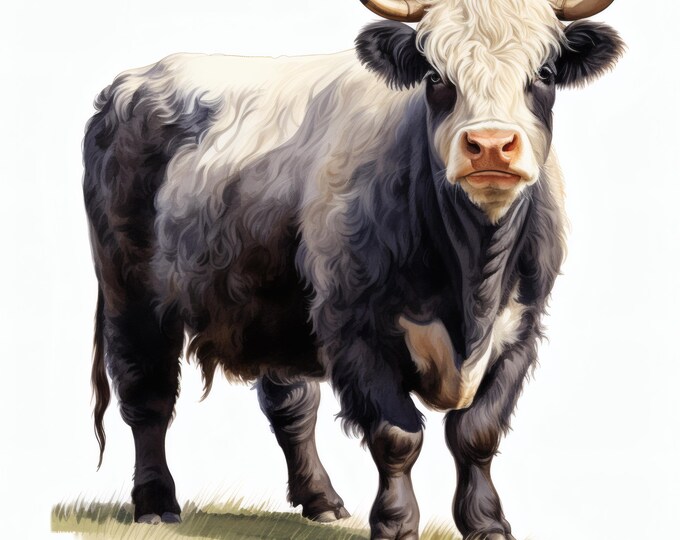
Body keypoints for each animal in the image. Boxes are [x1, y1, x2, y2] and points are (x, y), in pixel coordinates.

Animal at [83, 0, 623, 538]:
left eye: (545, 72)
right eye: (434, 76)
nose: (490, 145)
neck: (473, 287)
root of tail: (132, 82)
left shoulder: (521, 332)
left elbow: (476, 432)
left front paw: (487, 524)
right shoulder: (355, 328)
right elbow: (397, 436)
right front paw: (397, 525)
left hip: (275, 306)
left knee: (291, 404)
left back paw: (320, 498)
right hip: (130, 290)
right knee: (147, 393)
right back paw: (156, 502)